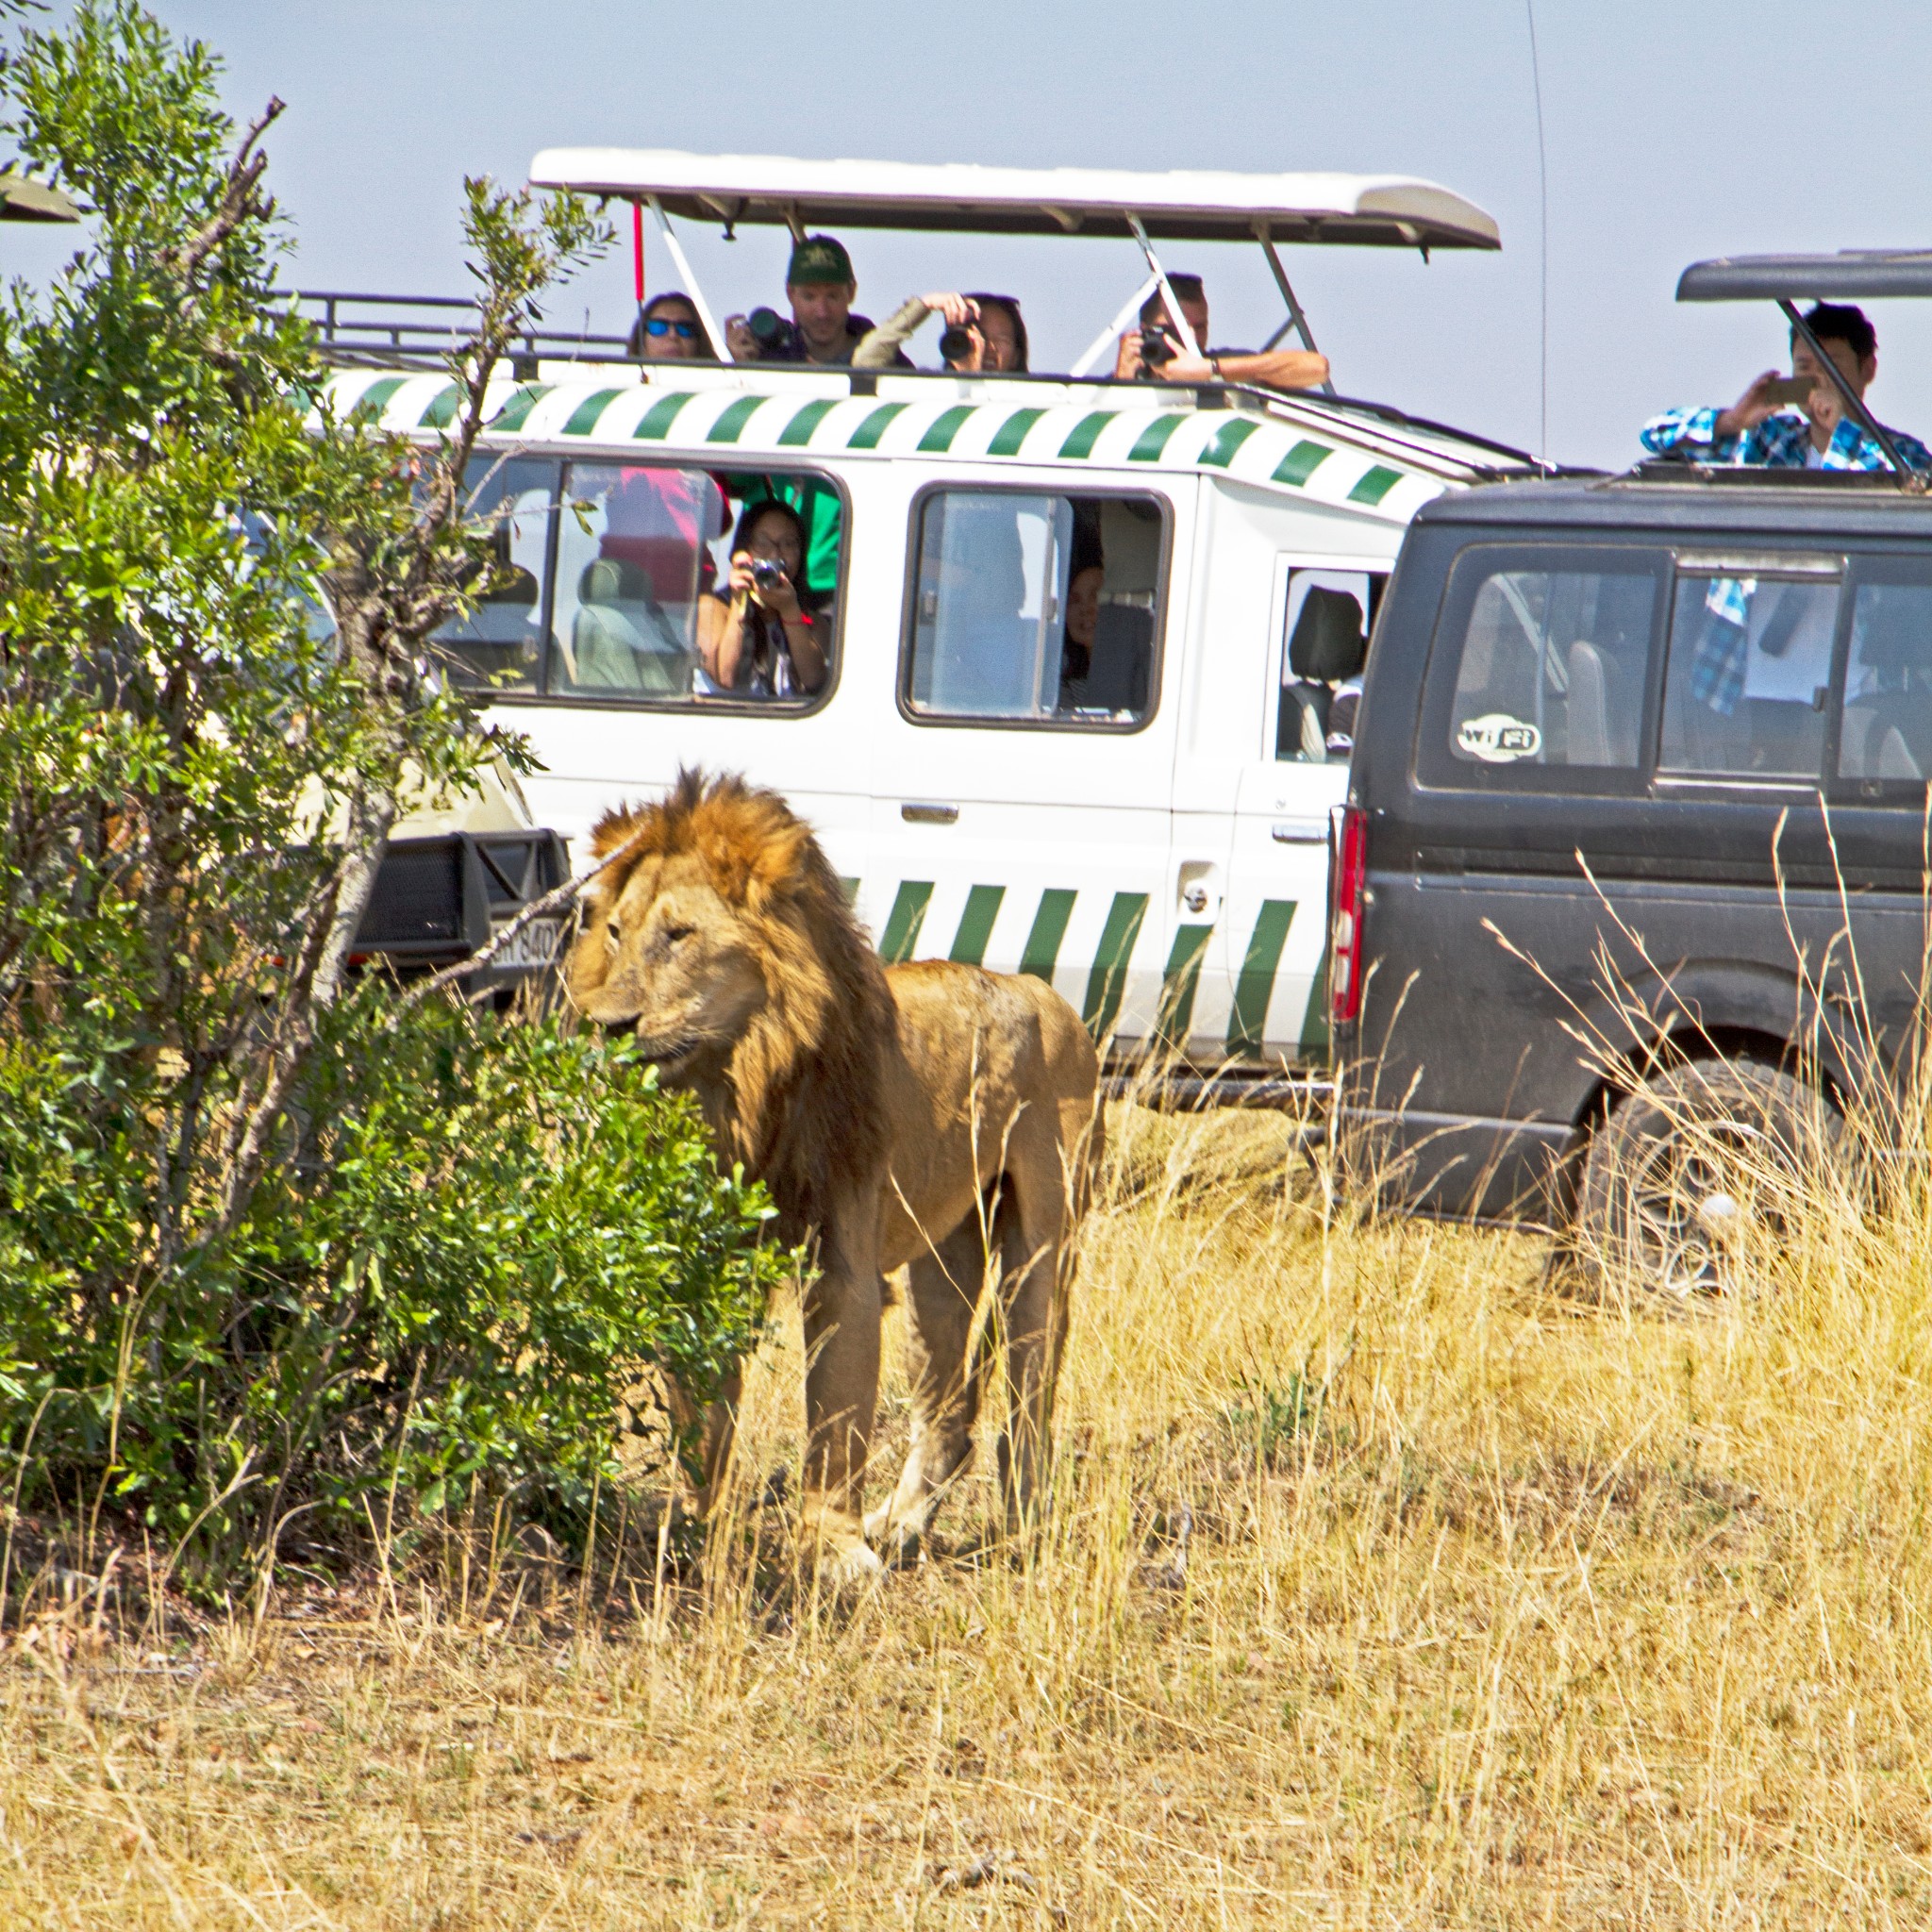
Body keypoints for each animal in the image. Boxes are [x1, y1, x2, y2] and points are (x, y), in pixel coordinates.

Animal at [564, 773, 1105, 1584]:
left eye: (681, 934)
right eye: (616, 933)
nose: (607, 1024)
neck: (736, 1086)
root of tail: (1045, 992)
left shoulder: (840, 1259)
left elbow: (837, 1417)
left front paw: (833, 1550)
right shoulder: (700, 1261)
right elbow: (702, 1420)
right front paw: (695, 1530)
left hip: (1042, 1244)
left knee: (1027, 1400)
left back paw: (1022, 1534)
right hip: (945, 1260)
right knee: (949, 1411)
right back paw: (904, 1526)